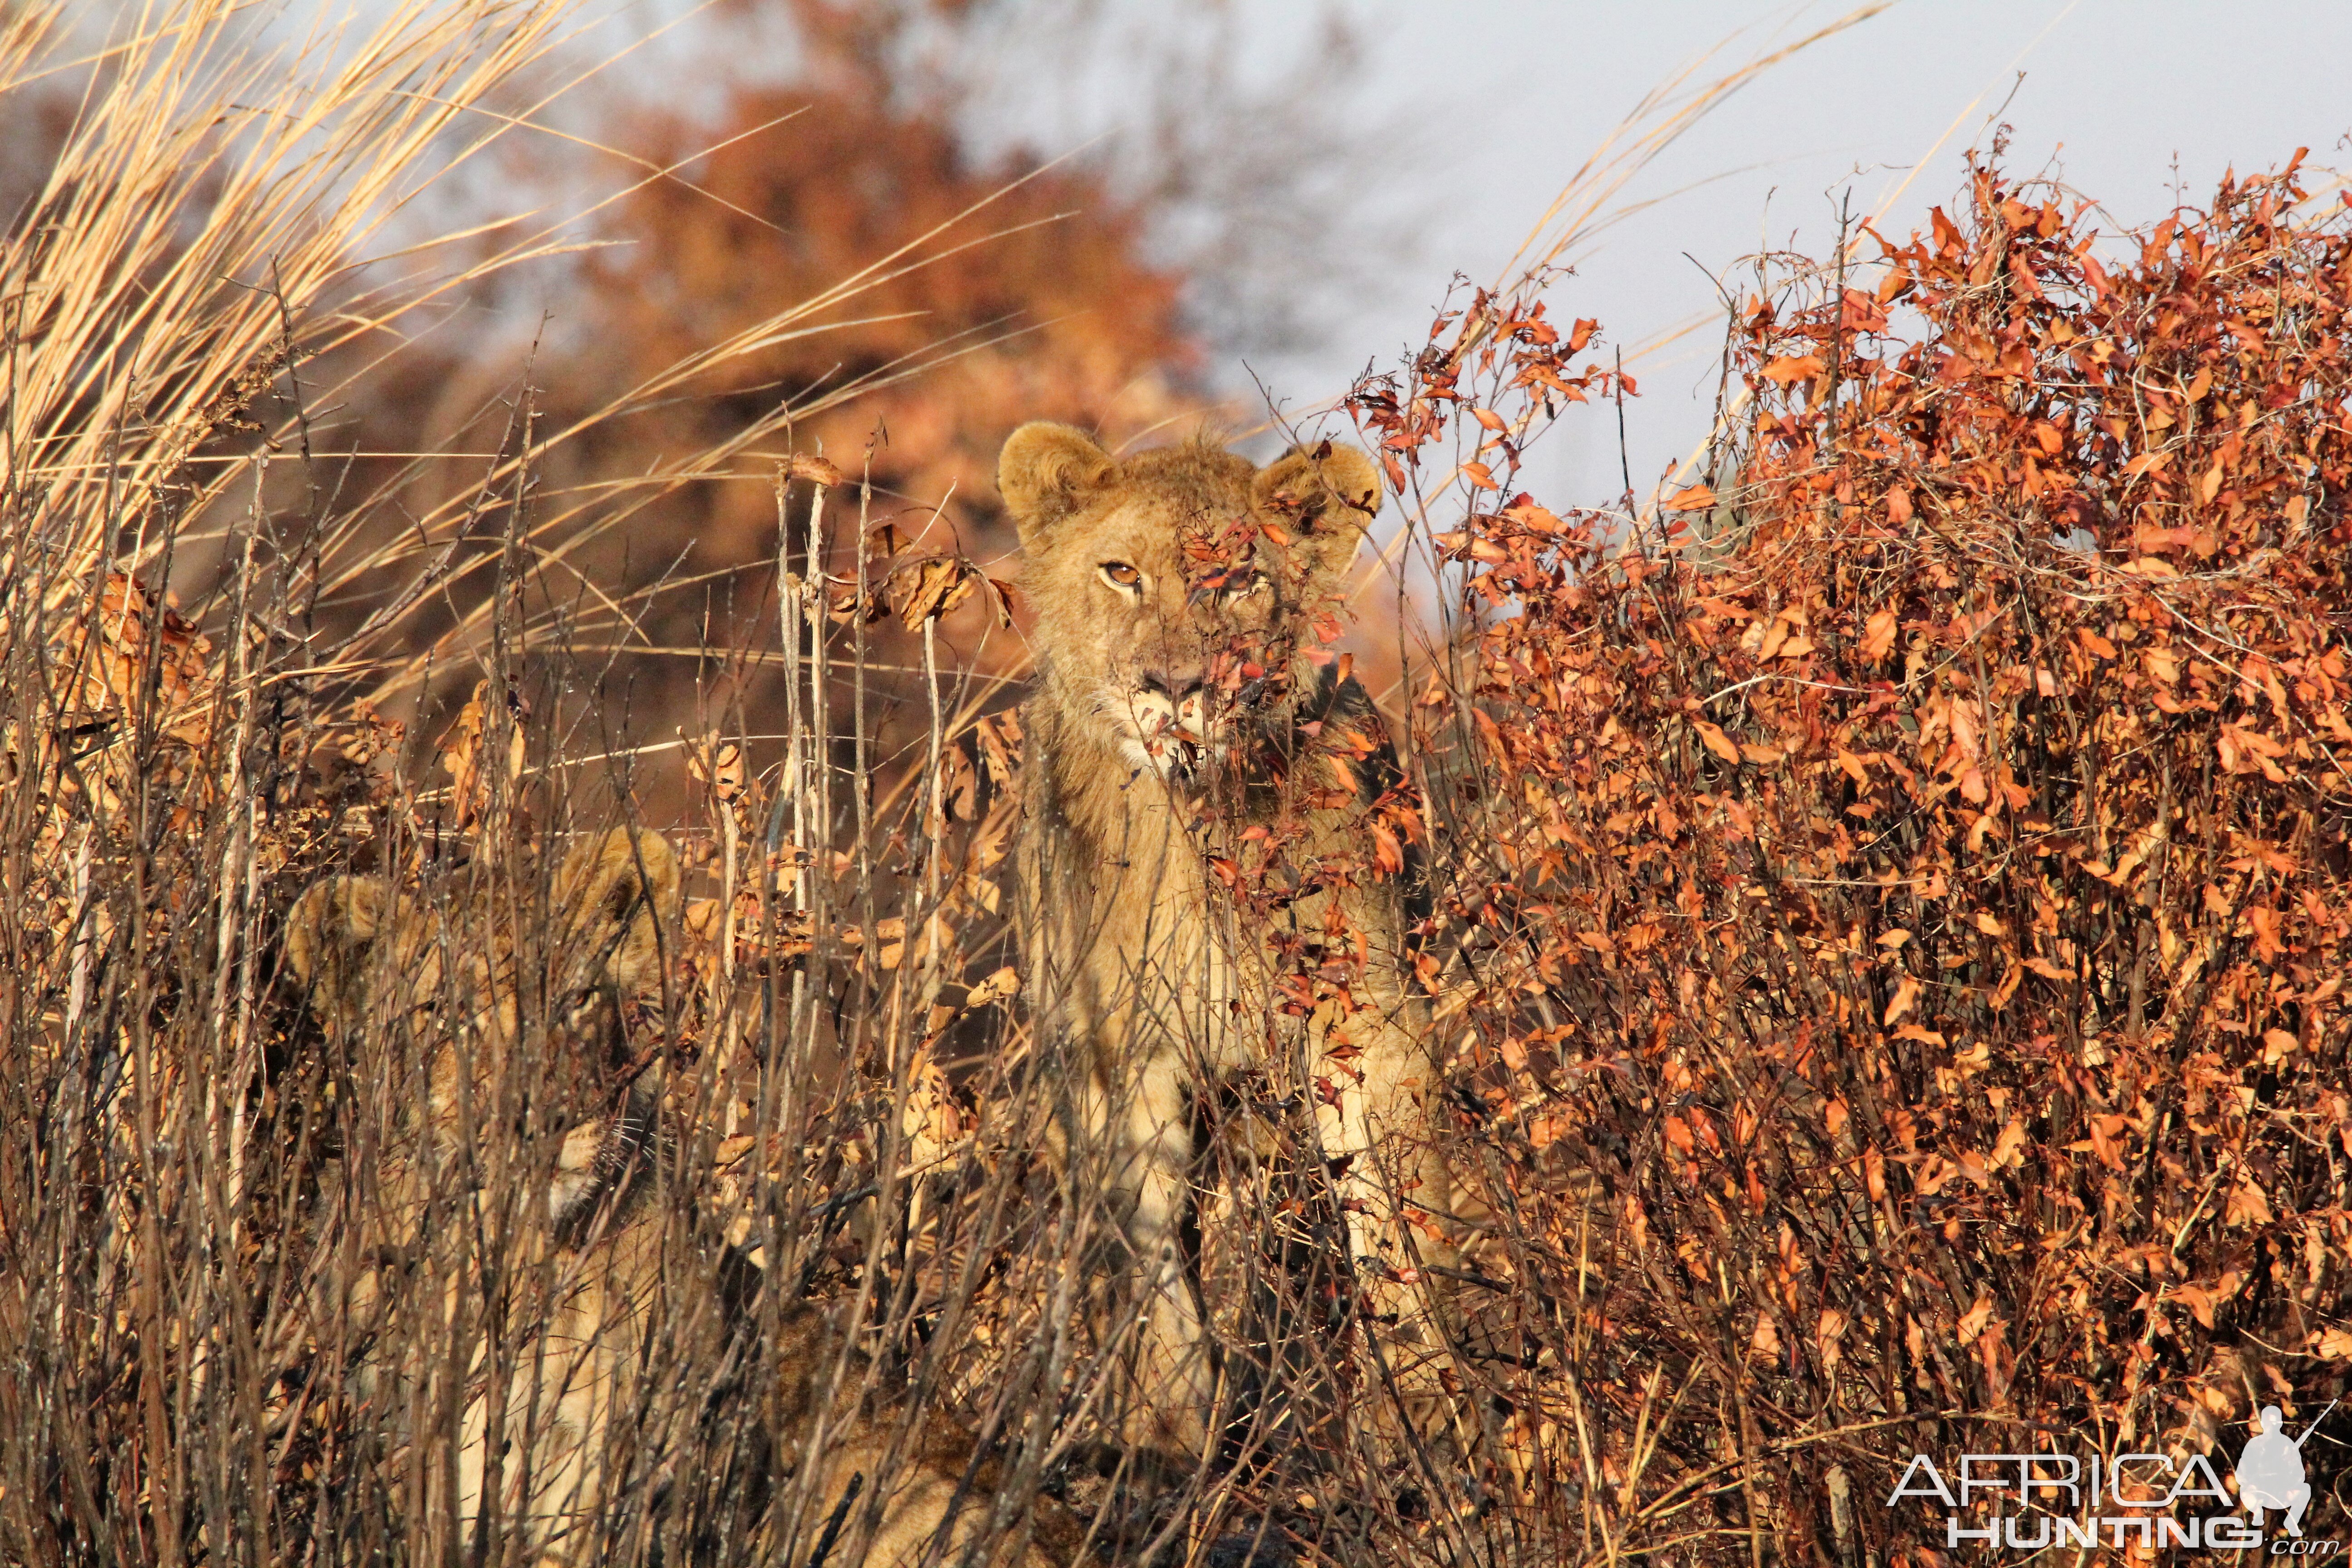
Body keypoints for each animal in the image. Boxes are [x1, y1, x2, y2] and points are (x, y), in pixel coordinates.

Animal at [992, 423, 1449, 1457]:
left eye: (1239, 580)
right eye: (1120, 572)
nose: (1174, 687)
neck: (1194, 819)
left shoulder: (1369, 1024)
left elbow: (1395, 1220)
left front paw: (1421, 1412)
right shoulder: (1124, 1048)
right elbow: (1154, 1260)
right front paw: (1168, 1431)